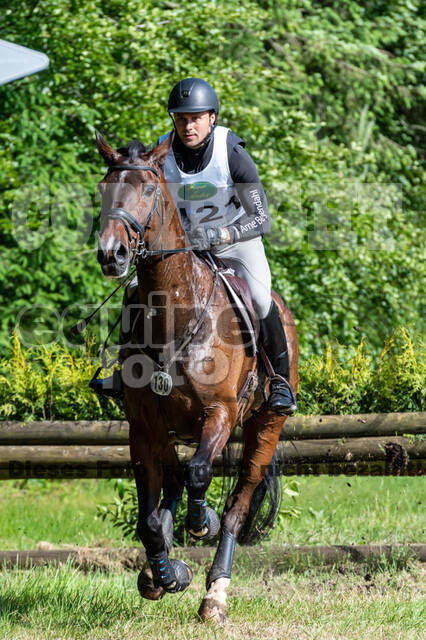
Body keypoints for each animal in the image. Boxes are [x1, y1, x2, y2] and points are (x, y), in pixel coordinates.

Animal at [95, 130, 299, 623]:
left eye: (149, 190)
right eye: (103, 189)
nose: (111, 254)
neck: (177, 316)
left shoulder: (220, 412)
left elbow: (201, 473)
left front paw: (200, 525)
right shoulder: (144, 425)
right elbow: (149, 516)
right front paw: (165, 573)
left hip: (265, 426)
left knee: (237, 503)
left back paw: (215, 594)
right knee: (171, 484)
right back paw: (161, 570)